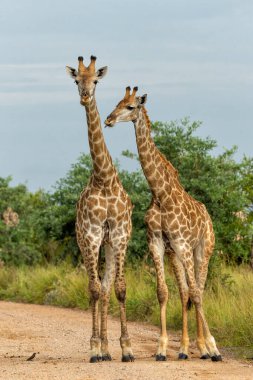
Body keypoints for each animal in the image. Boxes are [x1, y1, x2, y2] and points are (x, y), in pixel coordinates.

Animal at [104, 86, 221, 362]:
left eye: (130, 107)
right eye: (117, 102)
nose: (108, 120)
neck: (160, 194)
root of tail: (208, 217)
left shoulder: (183, 244)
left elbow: (197, 293)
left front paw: (213, 347)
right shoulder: (157, 243)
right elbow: (163, 292)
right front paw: (161, 348)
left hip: (203, 250)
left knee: (198, 289)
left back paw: (205, 348)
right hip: (175, 254)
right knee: (186, 291)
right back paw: (187, 349)